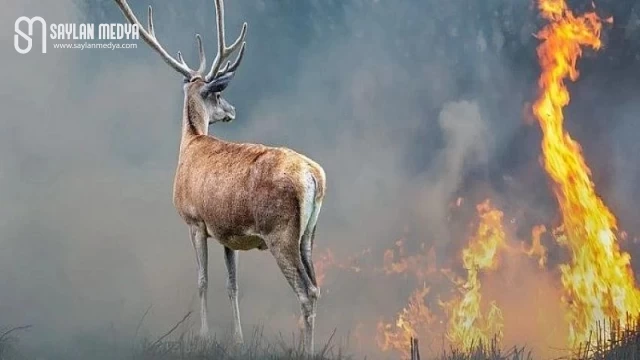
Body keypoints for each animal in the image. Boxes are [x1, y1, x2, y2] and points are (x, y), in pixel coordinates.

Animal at [113, 0, 324, 354]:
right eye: (216, 96)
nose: (233, 110)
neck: (190, 144)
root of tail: (314, 176)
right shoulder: (227, 232)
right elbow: (231, 284)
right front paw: (237, 339)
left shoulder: (194, 220)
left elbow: (202, 280)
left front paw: (203, 336)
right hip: (309, 235)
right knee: (317, 287)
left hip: (281, 232)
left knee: (306, 291)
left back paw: (307, 351)